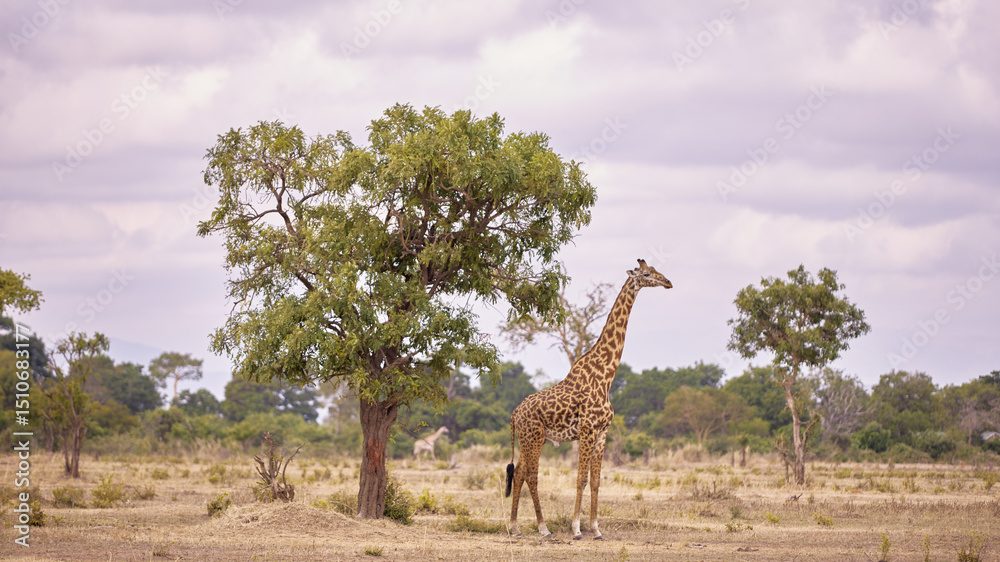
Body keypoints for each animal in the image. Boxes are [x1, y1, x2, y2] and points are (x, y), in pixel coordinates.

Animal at [505, 259, 672, 540]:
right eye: (648, 274)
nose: (668, 282)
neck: (606, 376)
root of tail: (515, 413)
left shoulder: (603, 432)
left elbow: (595, 480)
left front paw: (596, 528)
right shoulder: (587, 429)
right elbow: (580, 478)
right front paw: (576, 529)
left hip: (531, 439)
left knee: (518, 473)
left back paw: (515, 526)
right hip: (533, 438)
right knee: (531, 475)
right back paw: (543, 528)